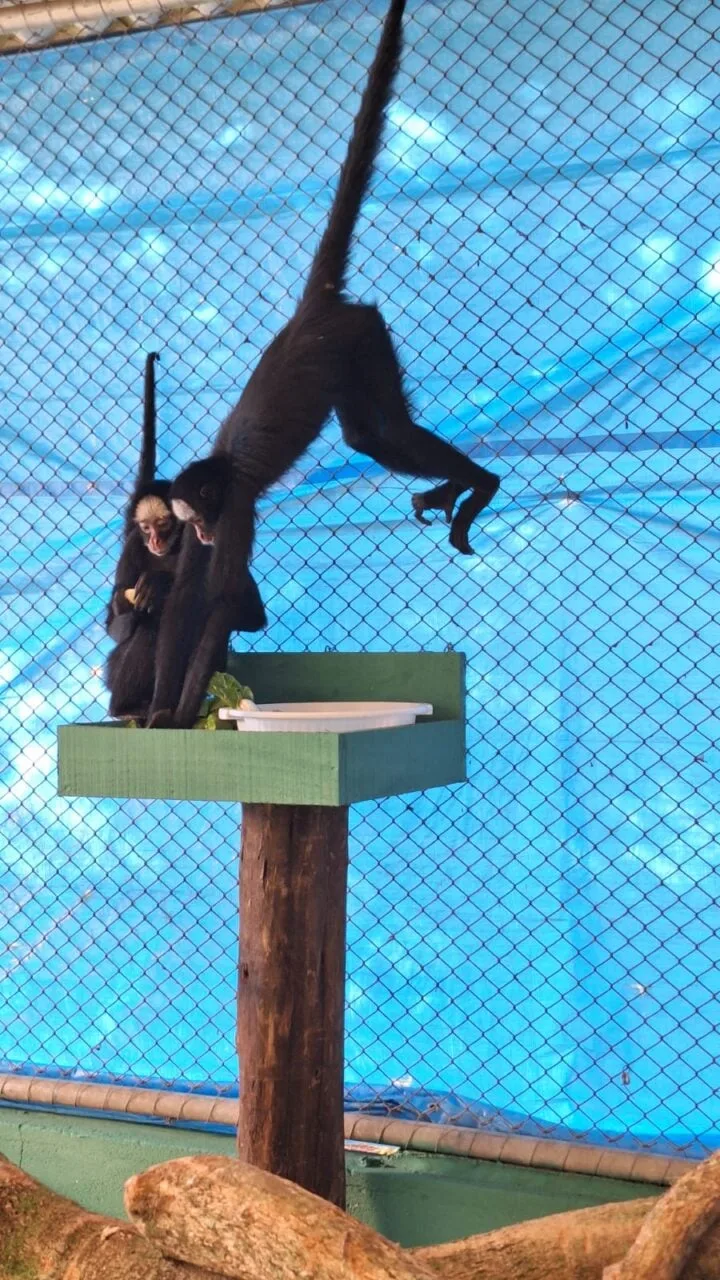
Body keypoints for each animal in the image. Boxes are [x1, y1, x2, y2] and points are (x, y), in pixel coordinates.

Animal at [104, 352, 266, 720]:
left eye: (164, 525)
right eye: (146, 529)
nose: (154, 542)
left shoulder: (213, 545)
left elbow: (249, 615)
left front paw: (162, 584)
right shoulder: (132, 548)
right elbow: (114, 625)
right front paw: (135, 600)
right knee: (147, 628)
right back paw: (127, 707)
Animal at [146, 0, 498, 729]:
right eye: (188, 521)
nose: (200, 530)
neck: (219, 471)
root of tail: (312, 312)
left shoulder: (238, 505)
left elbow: (218, 599)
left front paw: (183, 715)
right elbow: (186, 600)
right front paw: (161, 715)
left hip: (361, 334)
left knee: (385, 431)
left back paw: (480, 483)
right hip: (355, 345)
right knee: (368, 436)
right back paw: (458, 485)